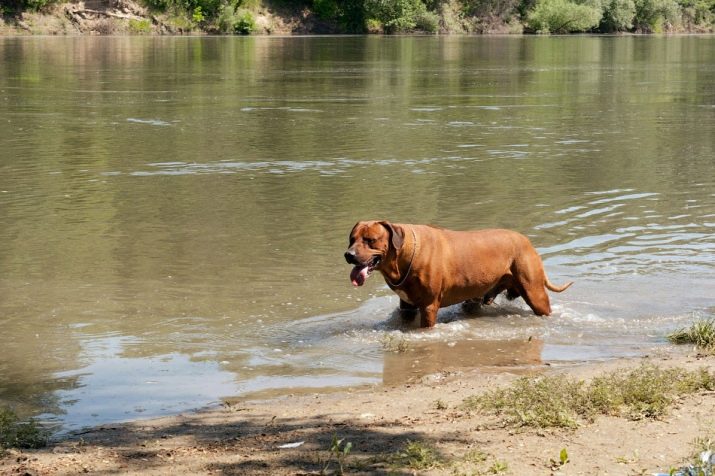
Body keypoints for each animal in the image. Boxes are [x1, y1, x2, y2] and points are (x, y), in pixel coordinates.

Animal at [344, 221, 573, 328]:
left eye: (370, 240)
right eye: (351, 239)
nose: (348, 254)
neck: (403, 257)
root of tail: (527, 241)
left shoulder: (429, 307)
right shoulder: (406, 306)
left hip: (535, 293)